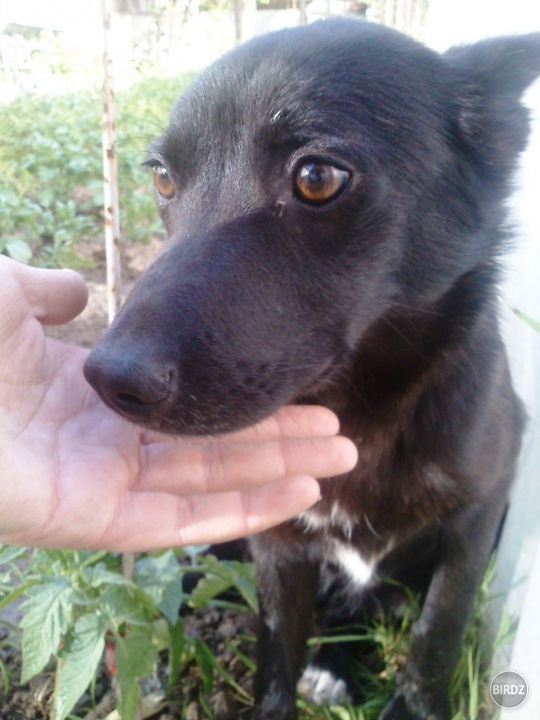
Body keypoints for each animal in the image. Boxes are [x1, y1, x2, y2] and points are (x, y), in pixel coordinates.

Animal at [85, 21, 540, 720]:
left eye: (317, 177)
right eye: (163, 179)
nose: (109, 379)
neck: (357, 415)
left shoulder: (479, 514)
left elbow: (439, 628)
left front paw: (412, 704)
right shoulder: (277, 539)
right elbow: (276, 648)